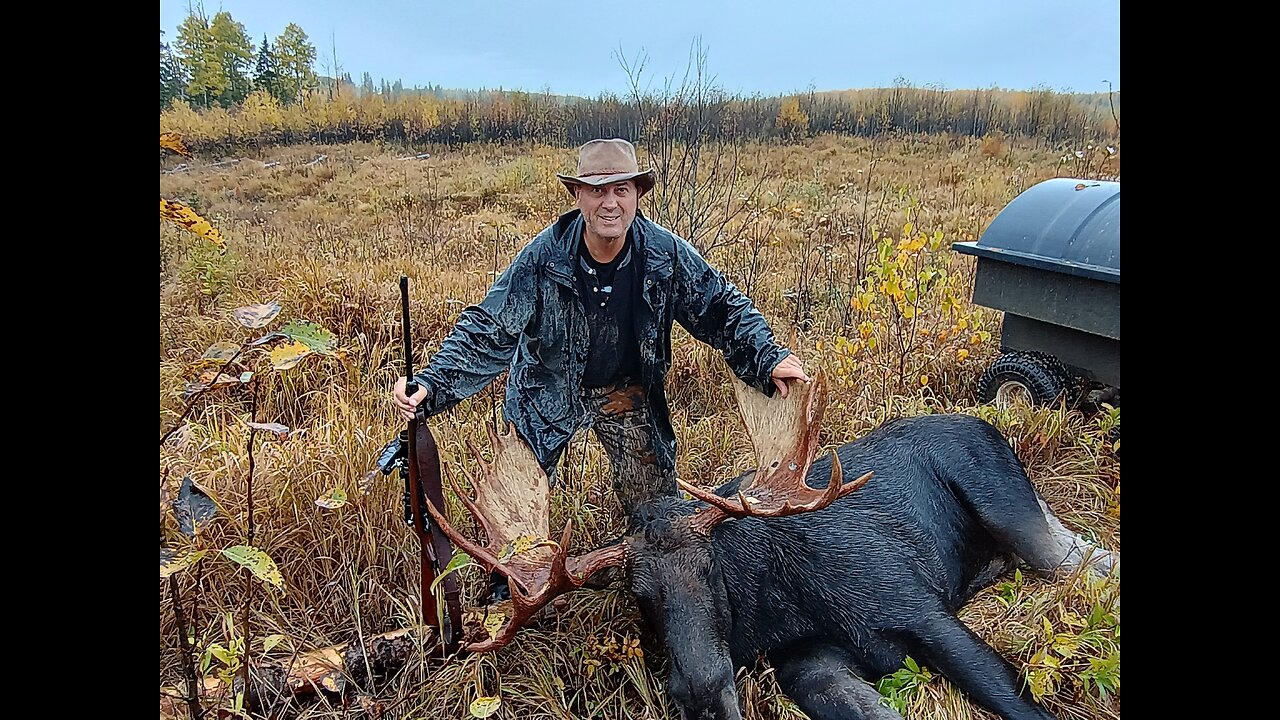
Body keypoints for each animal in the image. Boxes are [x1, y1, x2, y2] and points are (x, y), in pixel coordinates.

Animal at [425, 370, 1119, 720]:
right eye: (637, 595)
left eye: (712, 570)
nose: (704, 695)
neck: (780, 607)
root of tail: (985, 422)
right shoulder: (807, 662)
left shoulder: (918, 607)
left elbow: (1012, 696)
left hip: (1014, 511)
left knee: (1086, 559)